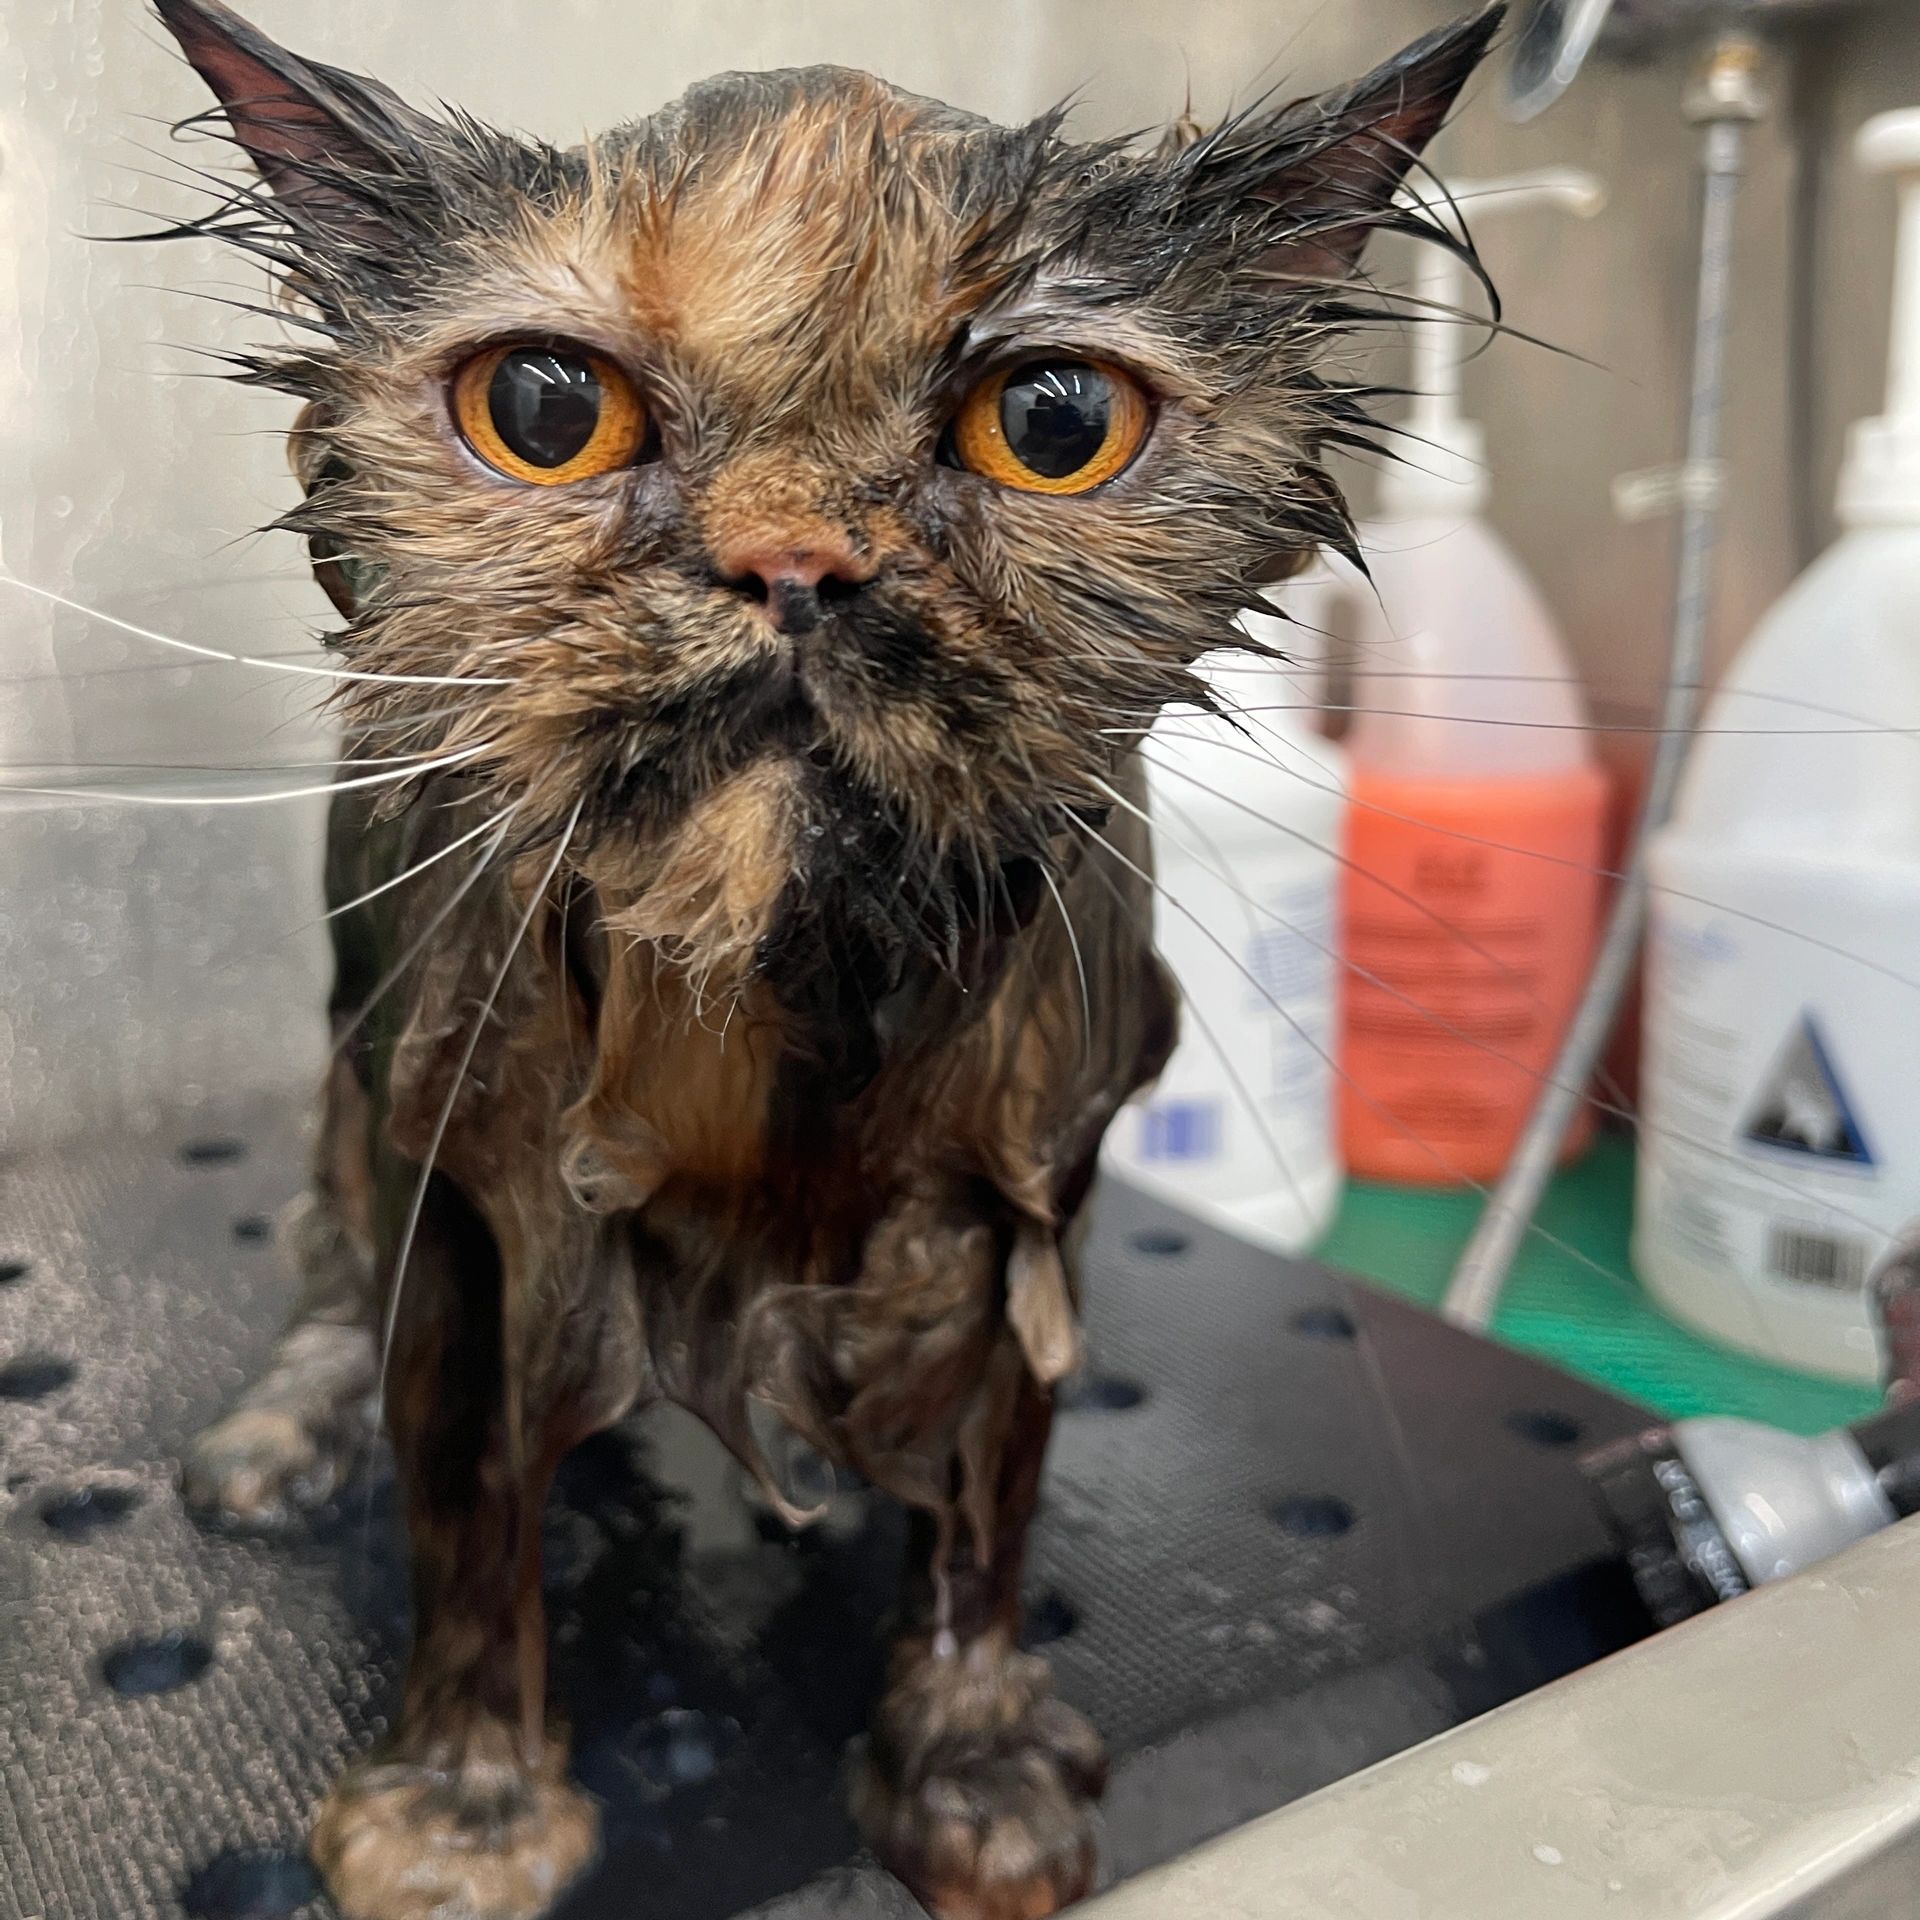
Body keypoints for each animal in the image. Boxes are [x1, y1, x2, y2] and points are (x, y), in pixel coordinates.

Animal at [149, 7, 1497, 1912]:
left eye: (1053, 423)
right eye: (546, 411)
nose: (792, 562)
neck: (785, 1004)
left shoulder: (1033, 1193)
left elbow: (991, 1523)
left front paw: (970, 1765)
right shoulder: (475, 1187)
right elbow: (470, 1513)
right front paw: (466, 1808)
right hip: (363, 1085)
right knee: (334, 1263)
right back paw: (288, 1430)